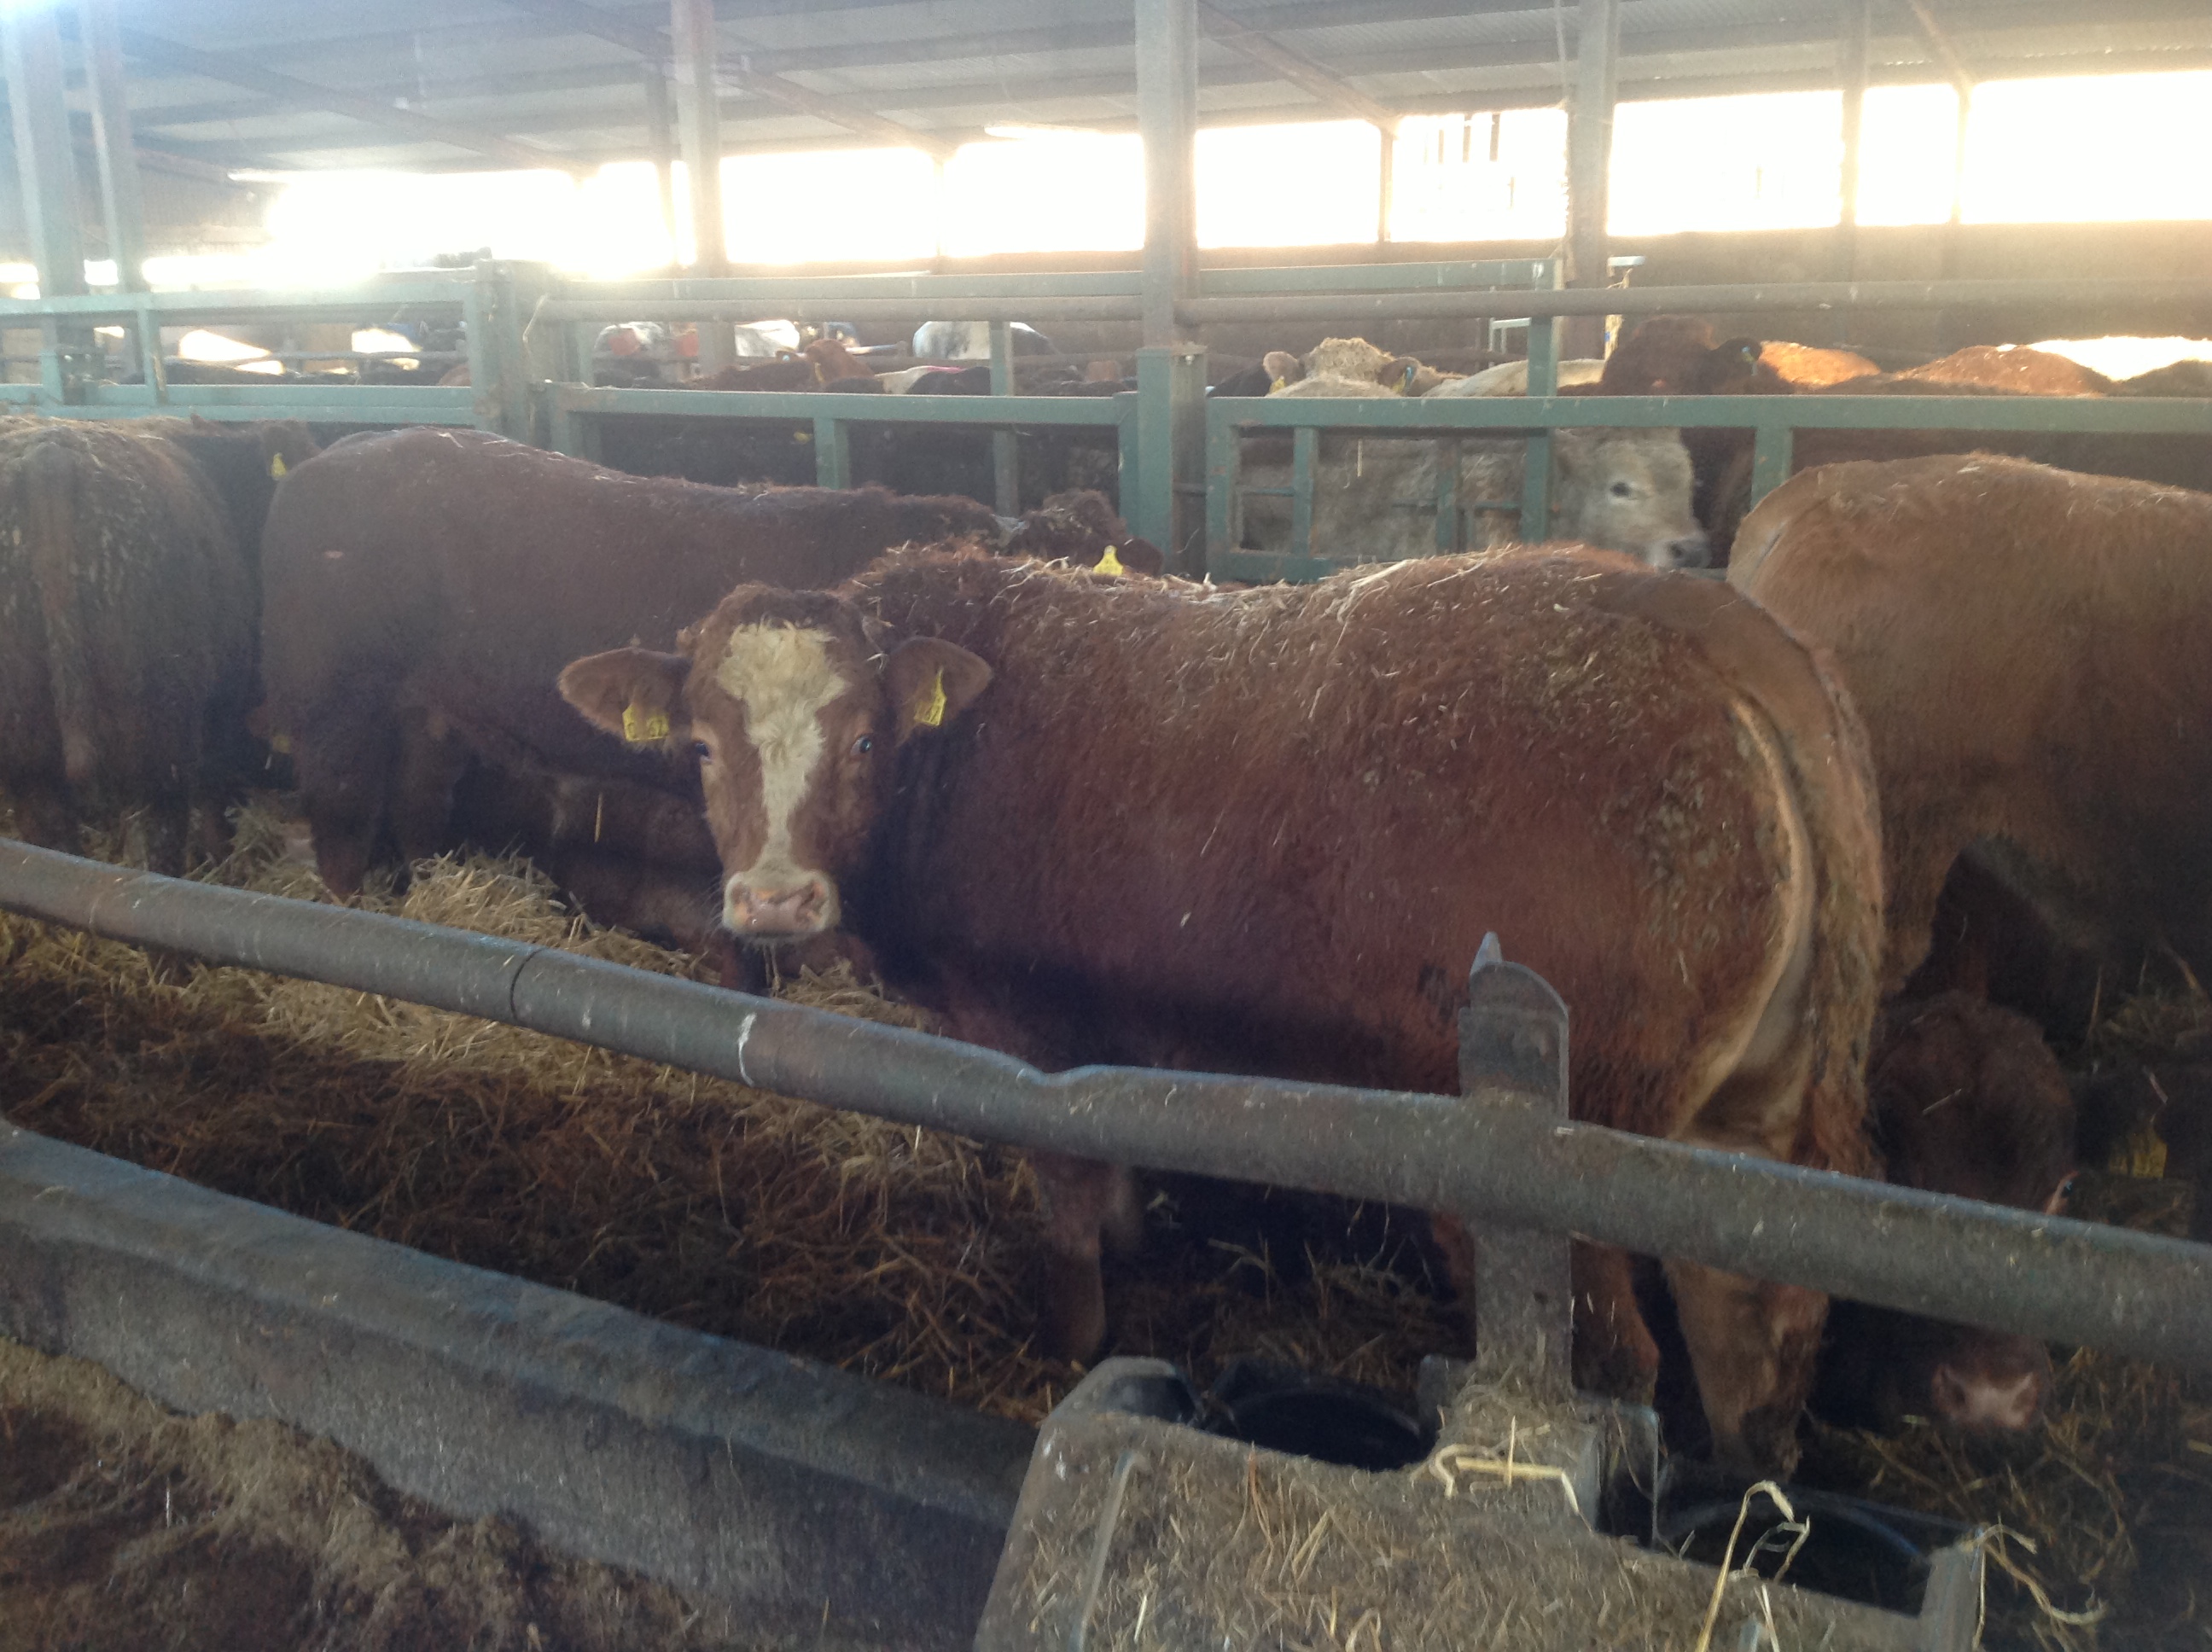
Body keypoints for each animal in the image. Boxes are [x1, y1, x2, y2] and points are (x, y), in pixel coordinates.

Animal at [0, 417, 317, 873]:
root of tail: (48, 456)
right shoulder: (220, 709)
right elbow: (214, 798)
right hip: (158, 746)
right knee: (159, 844)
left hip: (30, 757)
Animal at [556, 543, 1883, 1473]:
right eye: (702, 748)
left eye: (868, 742)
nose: (774, 898)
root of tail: (1701, 625)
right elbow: (1118, 1172)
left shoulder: (1026, 1035)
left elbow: (1067, 1200)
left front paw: (1074, 1339)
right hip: (1744, 1134)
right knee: (1756, 1322)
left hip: (1569, 1185)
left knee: (1622, 1359)